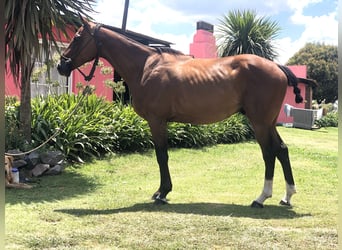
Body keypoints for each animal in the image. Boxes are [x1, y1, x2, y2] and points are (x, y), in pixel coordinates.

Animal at [57, 17, 316, 208]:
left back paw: (261, 198)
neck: (146, 66)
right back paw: (286, 196)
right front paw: (161, 191)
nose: (61, 65)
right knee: (281, 150)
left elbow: (161, 155)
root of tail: (277, 67)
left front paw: (162, 193)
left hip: (260, 122)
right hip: (268, 122)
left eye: (77, 37)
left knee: (269, 153)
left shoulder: (157, 121)